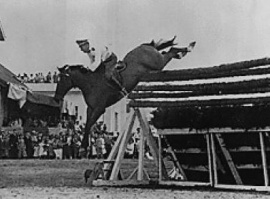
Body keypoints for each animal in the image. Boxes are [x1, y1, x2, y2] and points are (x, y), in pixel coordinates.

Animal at [53, 37, 195, 148]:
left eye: (62, 79)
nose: (56, 98)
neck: (90, 84)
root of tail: (146, 46)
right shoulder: (91, 108)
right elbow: (88, 124)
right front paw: (84, 145)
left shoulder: (99, 108)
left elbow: (89, 123)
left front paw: (83, 146)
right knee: (168, 51)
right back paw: (185, 50)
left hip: (158, 63)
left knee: (170, 51)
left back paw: (189, 48)